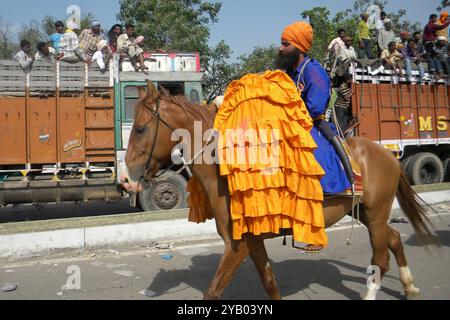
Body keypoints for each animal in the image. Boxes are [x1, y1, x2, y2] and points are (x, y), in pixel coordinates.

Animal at [120, 80, 436, 300]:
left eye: (140, 129)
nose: (125, 178)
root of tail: (385, 154)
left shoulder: (237, 245)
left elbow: (213, 291)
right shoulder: (253, 242)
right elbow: (270, 283)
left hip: (375, 213)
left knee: (380, 258)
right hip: (367, 213)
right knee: (394, 240)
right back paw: (410, 287)